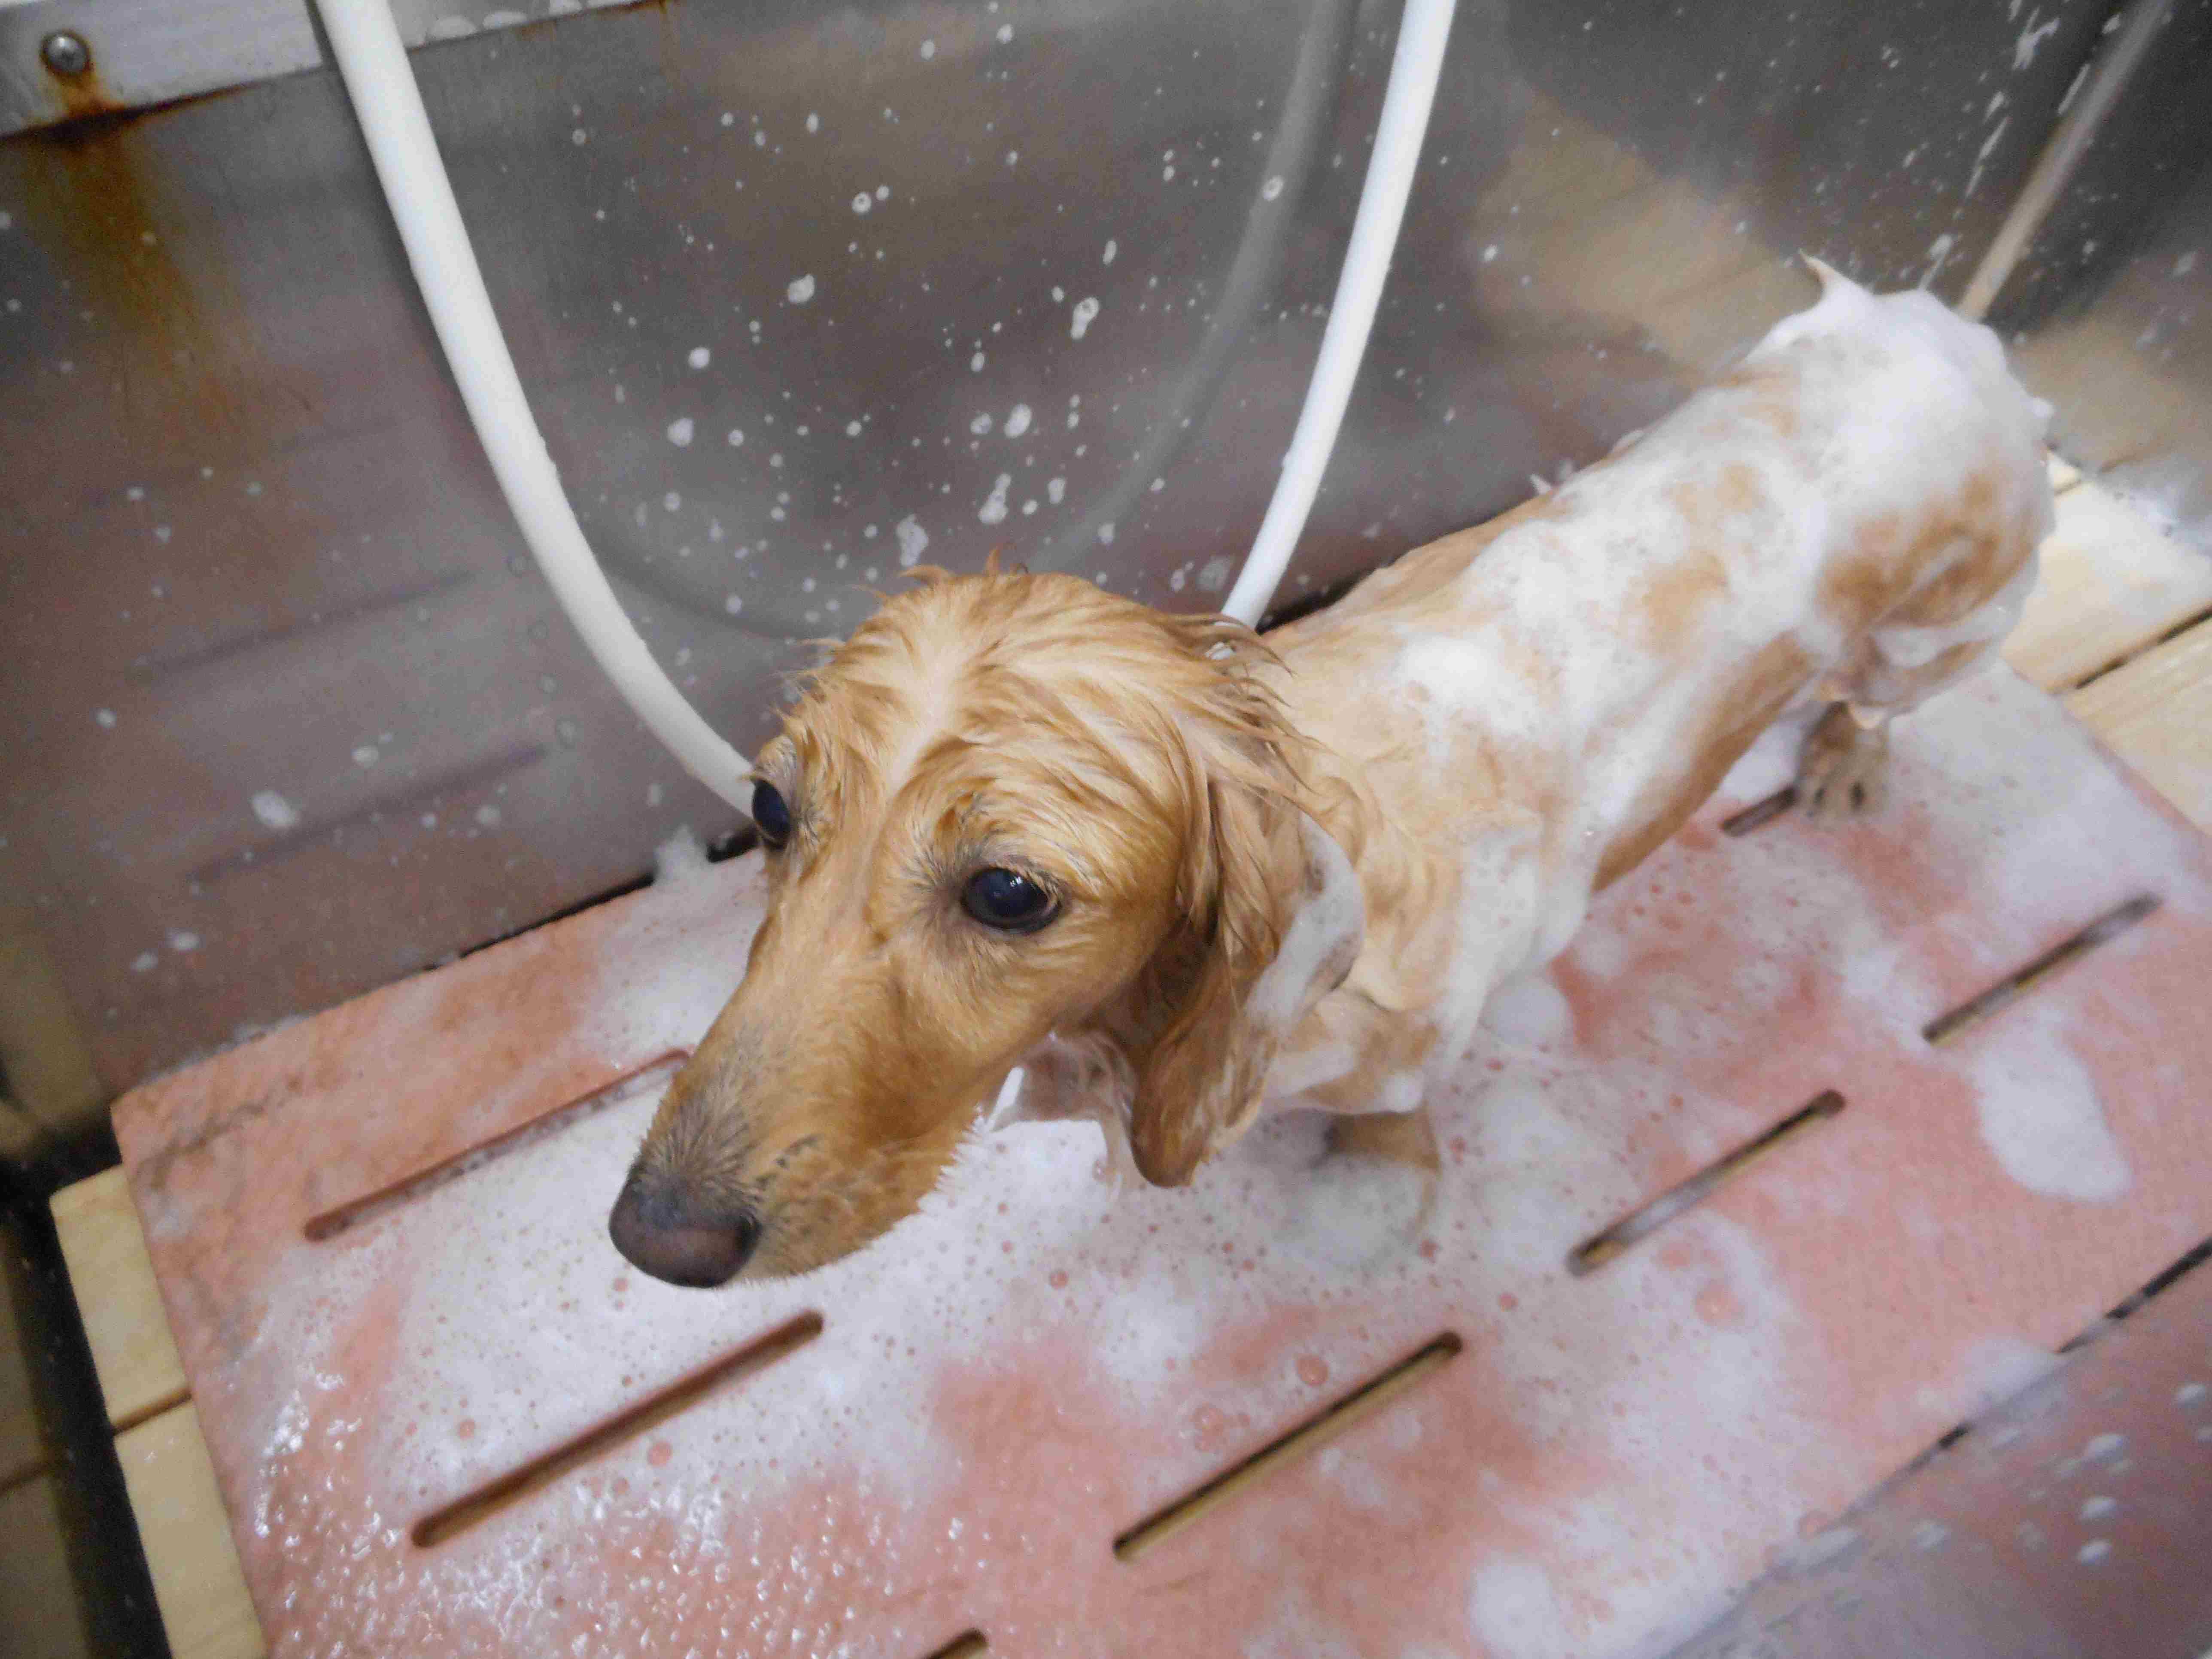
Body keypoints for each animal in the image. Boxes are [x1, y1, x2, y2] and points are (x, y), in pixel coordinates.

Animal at [608, 262, 2053, 1286]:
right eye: (770, 808)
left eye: (1010, 894)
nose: (655, 1239)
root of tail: (1940, 330)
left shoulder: (1406, 1039)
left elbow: (1392, 1123)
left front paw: (1376, 1187)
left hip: (1944, 630)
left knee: (1892, 694)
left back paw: (1850, 755)